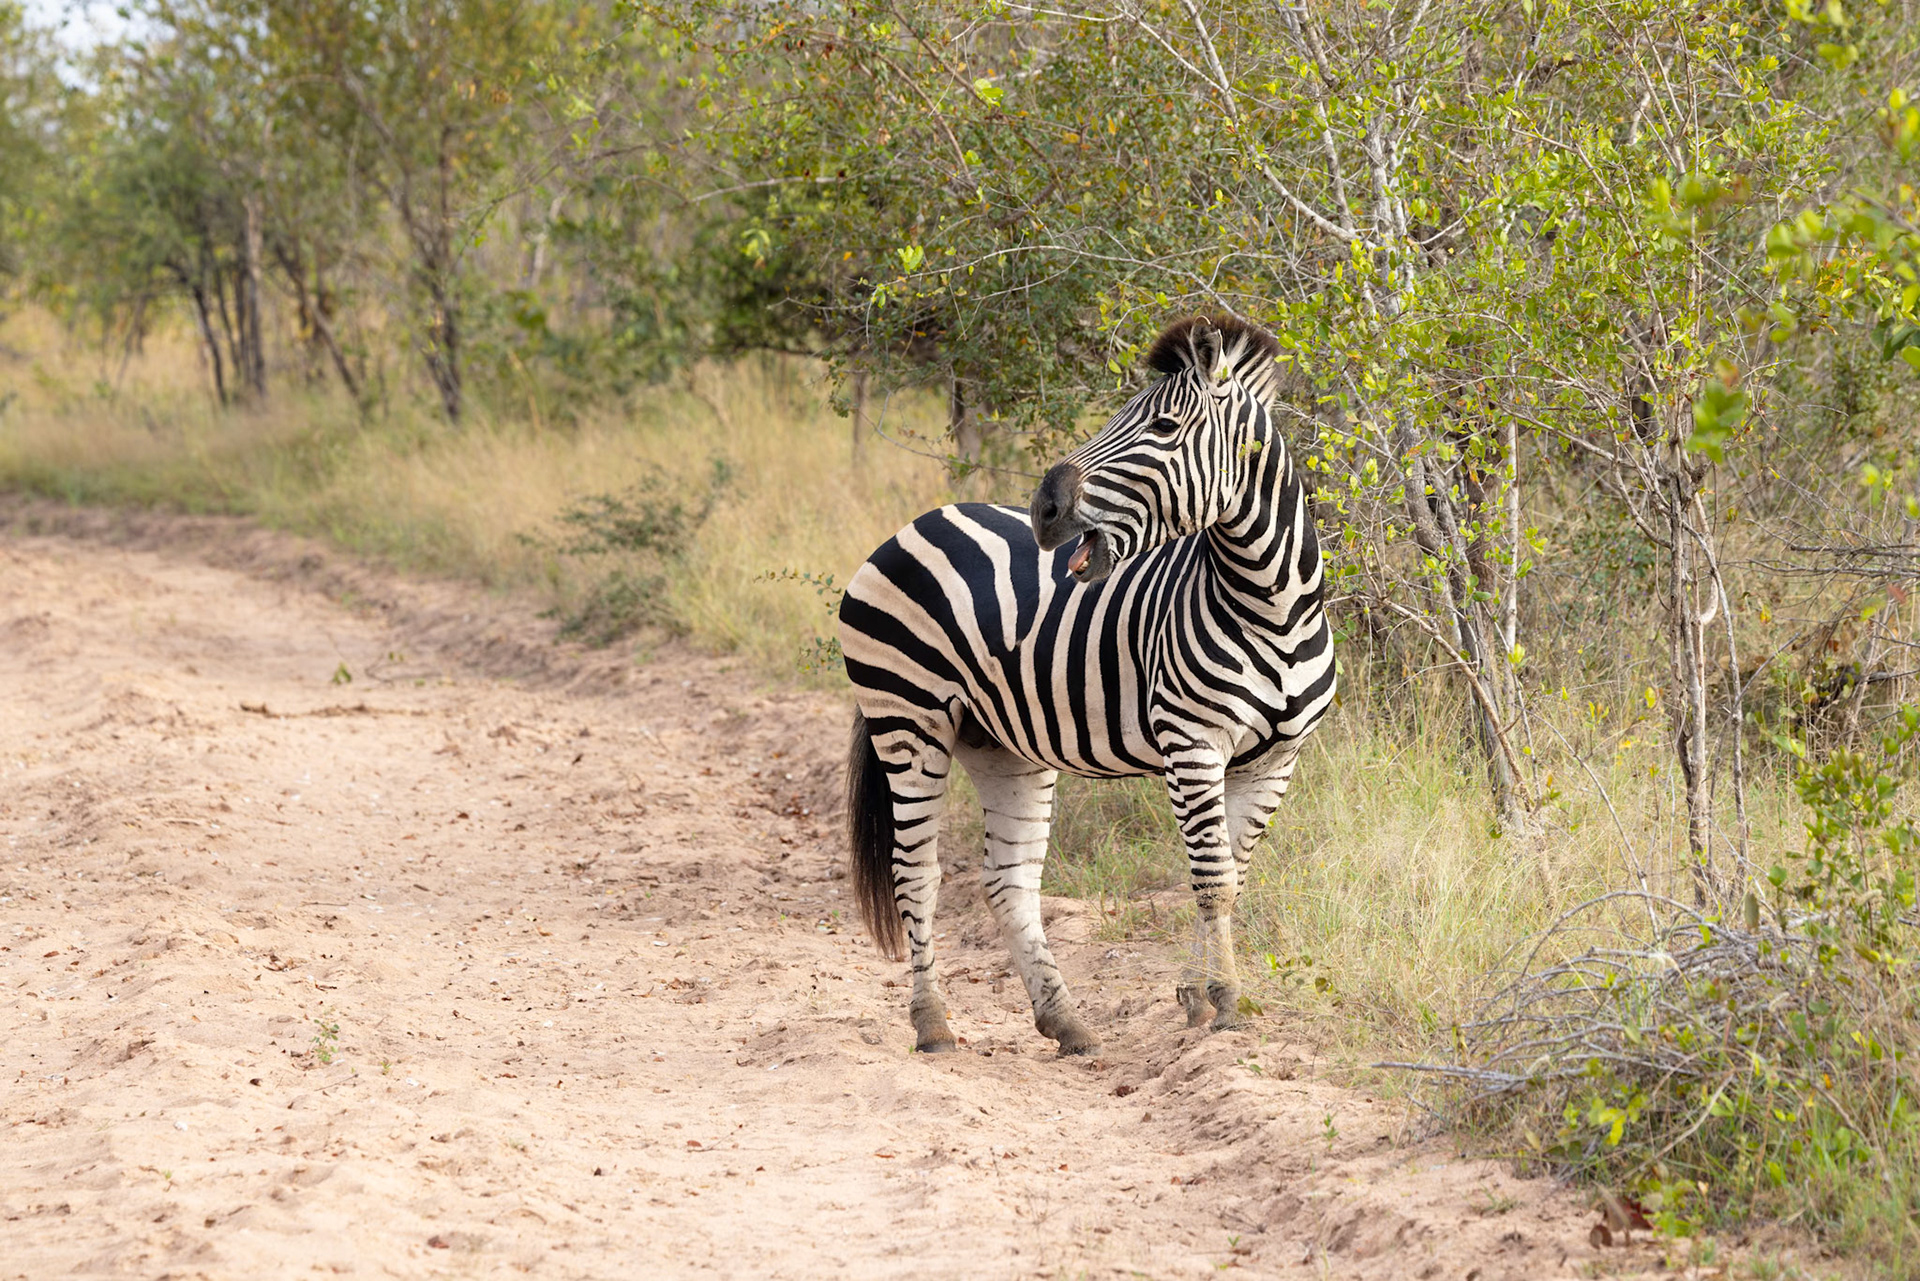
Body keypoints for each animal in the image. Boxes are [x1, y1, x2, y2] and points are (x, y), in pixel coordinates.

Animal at [838, 315, 1335, 1056]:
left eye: (1163, 426)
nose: (1044, 510)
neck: (1270, 605)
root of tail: (915, 524)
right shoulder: (1191, 743)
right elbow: (1213, 878)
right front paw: (1225, 1000)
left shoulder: (1277, 758)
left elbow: (1232, 874)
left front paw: (1197, 995)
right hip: (909, 721)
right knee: (916, 872)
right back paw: (933, 1024)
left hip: (1001, 744)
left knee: (1009, 882)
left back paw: (1066, 1020)